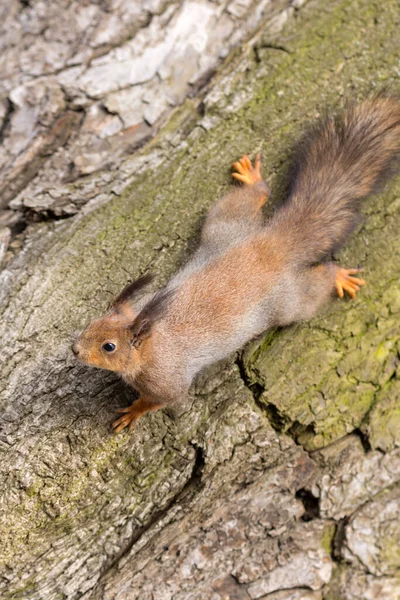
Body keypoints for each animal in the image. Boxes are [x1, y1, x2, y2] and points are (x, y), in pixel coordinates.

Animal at [72, 95, 400, 432]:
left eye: (109, 346)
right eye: (93, 322)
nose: (75, 349)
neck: (151, 339)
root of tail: (271, 246)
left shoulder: (166, 380)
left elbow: (161, 400)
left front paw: (134, 411)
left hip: (288, 300)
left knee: (313, 289)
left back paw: (338, 276)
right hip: (226, 226)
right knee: (254, 198)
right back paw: (252, 180)